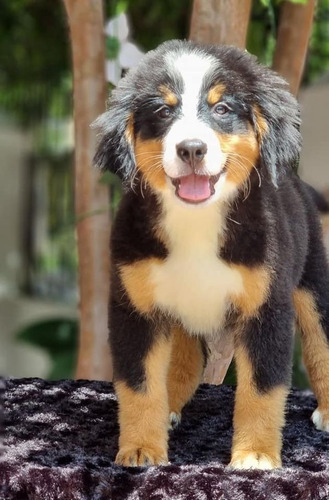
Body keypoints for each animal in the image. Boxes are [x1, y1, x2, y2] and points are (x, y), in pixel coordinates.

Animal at [93, 39, 328, 468]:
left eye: (221, 109)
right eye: (163, 110)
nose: (191, 149)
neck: (196, 222)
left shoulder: (266, 307)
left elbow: (262, 389)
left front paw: (254, 455)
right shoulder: (135, 306)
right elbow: (139, 385)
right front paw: (141, 448)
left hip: (312, 283)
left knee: (322, 344)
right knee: (184, 362)